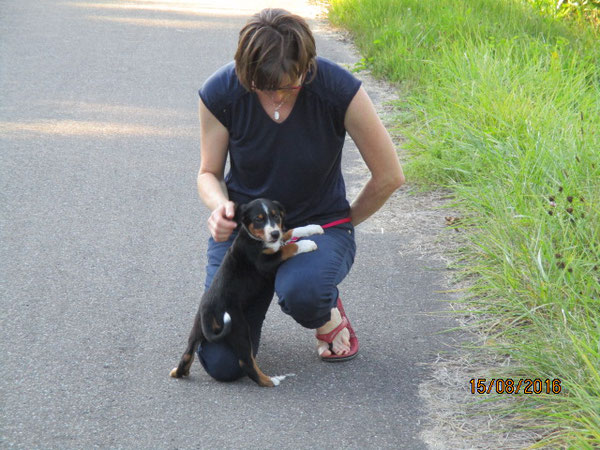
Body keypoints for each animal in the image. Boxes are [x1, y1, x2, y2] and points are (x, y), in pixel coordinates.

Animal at [170, 198, 324, 386]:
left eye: (276, 216)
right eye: (258, 219)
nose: (273, 233)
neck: (255, 238)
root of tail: (208, 310)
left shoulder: (276, 240)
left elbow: (288, 233)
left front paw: (313, 227)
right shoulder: (265, 262)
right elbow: (289, 248)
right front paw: (307, 244)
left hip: (197, 328)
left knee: (187, 353)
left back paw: (179, 372)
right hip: (239, 328)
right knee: (246, 361)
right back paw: (270, 380)